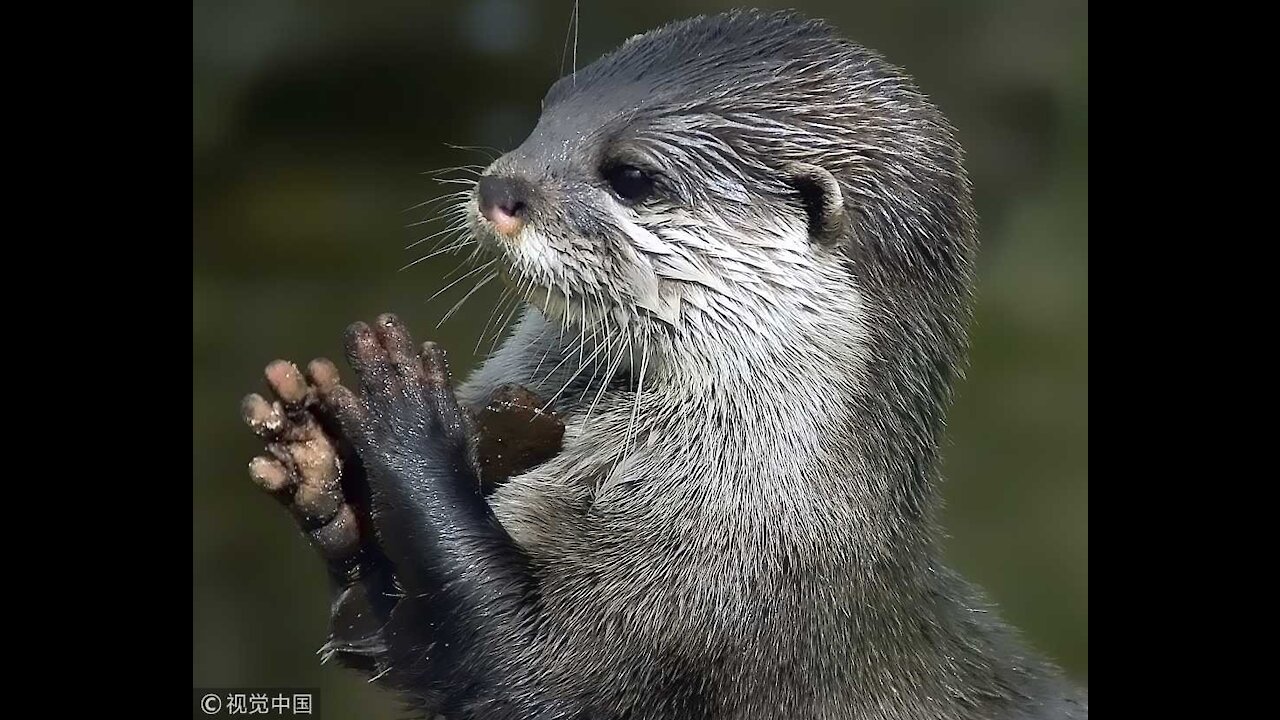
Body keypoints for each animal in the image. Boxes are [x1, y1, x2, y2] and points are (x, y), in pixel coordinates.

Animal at [238, 8, 1080, 712]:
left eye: (633, 177)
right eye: (545, 110)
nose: (500, 187)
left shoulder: (706, 600)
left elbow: (520, 669)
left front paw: (408, 421)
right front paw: (320, 462)